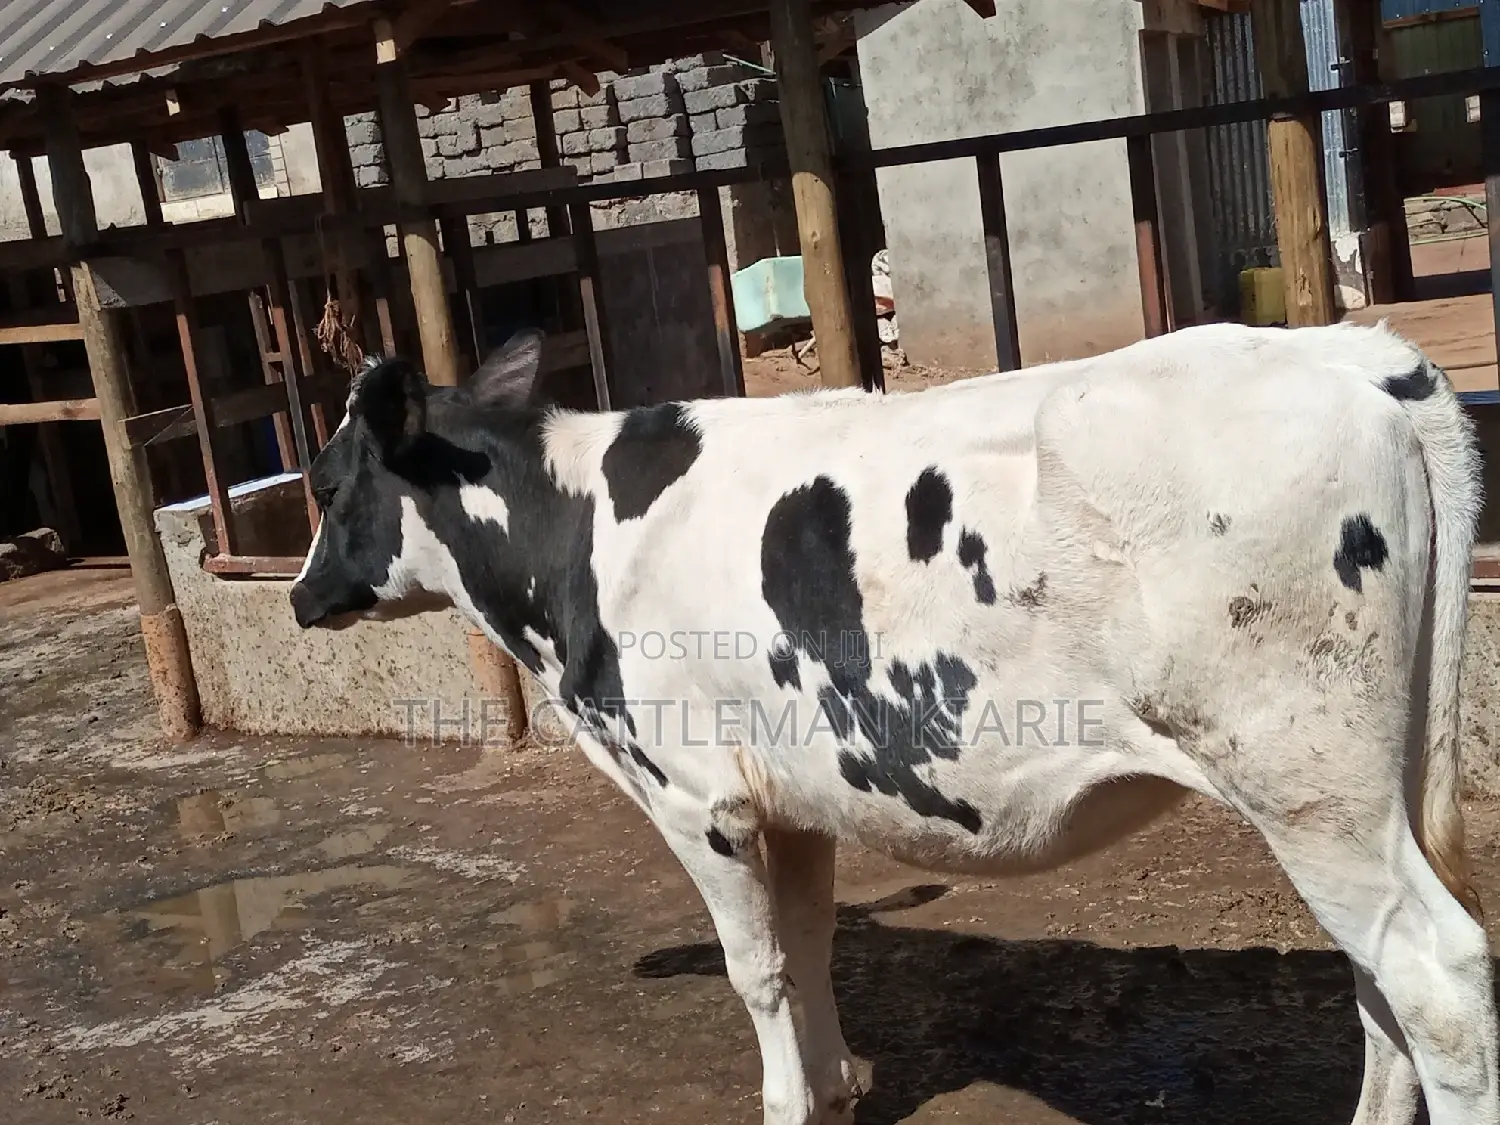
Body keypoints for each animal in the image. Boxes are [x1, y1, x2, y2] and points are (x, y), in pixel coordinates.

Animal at [289, 319, 1498, 1125]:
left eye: (326, 482)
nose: (300, 598)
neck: (579, 529)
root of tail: (1351, 352)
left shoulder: (696, 797)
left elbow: (757, 969)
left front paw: (786, 1101)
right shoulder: (797, 795)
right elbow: (811, 946)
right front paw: (834, 1086)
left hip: (1304, 776)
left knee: (1433, 977)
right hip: (1364, 781)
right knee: (1379, 982)